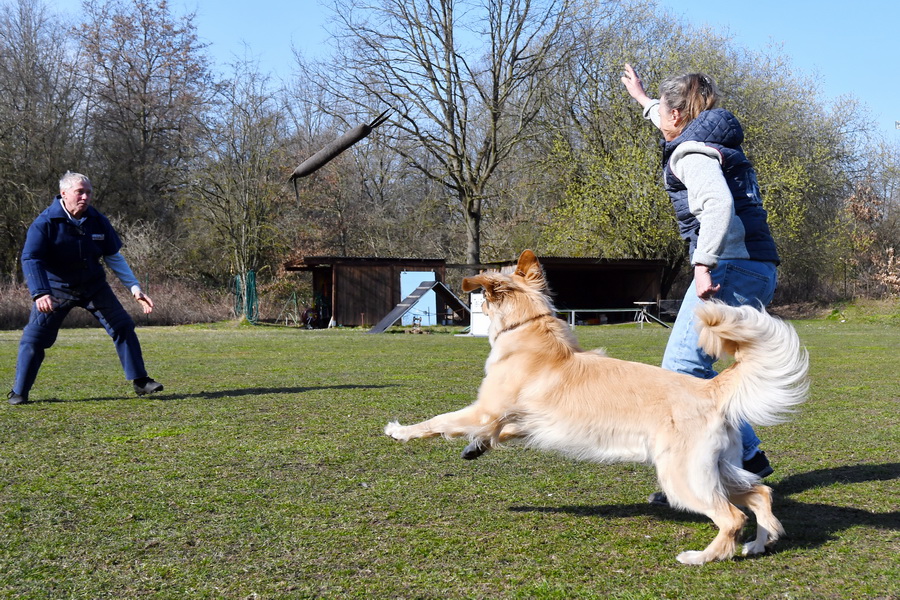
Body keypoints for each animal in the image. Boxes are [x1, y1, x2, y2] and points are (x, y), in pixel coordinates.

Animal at [384, 248, 808, 564]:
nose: (468, 310)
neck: (529, 331)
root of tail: (711, 389)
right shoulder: (524, 420)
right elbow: (500, 431)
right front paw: (476, 446)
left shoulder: (484, 408)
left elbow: (438, 421)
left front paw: (400, 431)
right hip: (716, 469)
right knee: (761, 494)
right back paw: (758, 543)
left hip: (683, 477)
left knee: (732, 517)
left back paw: (702, 557)